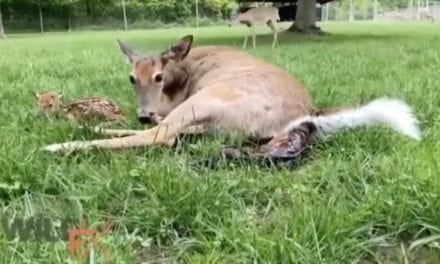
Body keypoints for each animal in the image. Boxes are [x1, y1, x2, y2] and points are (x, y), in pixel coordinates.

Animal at [43, 35, 422, 156]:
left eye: (159, 77)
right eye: (131, 78)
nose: (142, 113)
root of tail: (307, 114)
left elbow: (160, 127)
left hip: (213, 95)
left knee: (163, 136)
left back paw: (62, 145)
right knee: (178, 133)